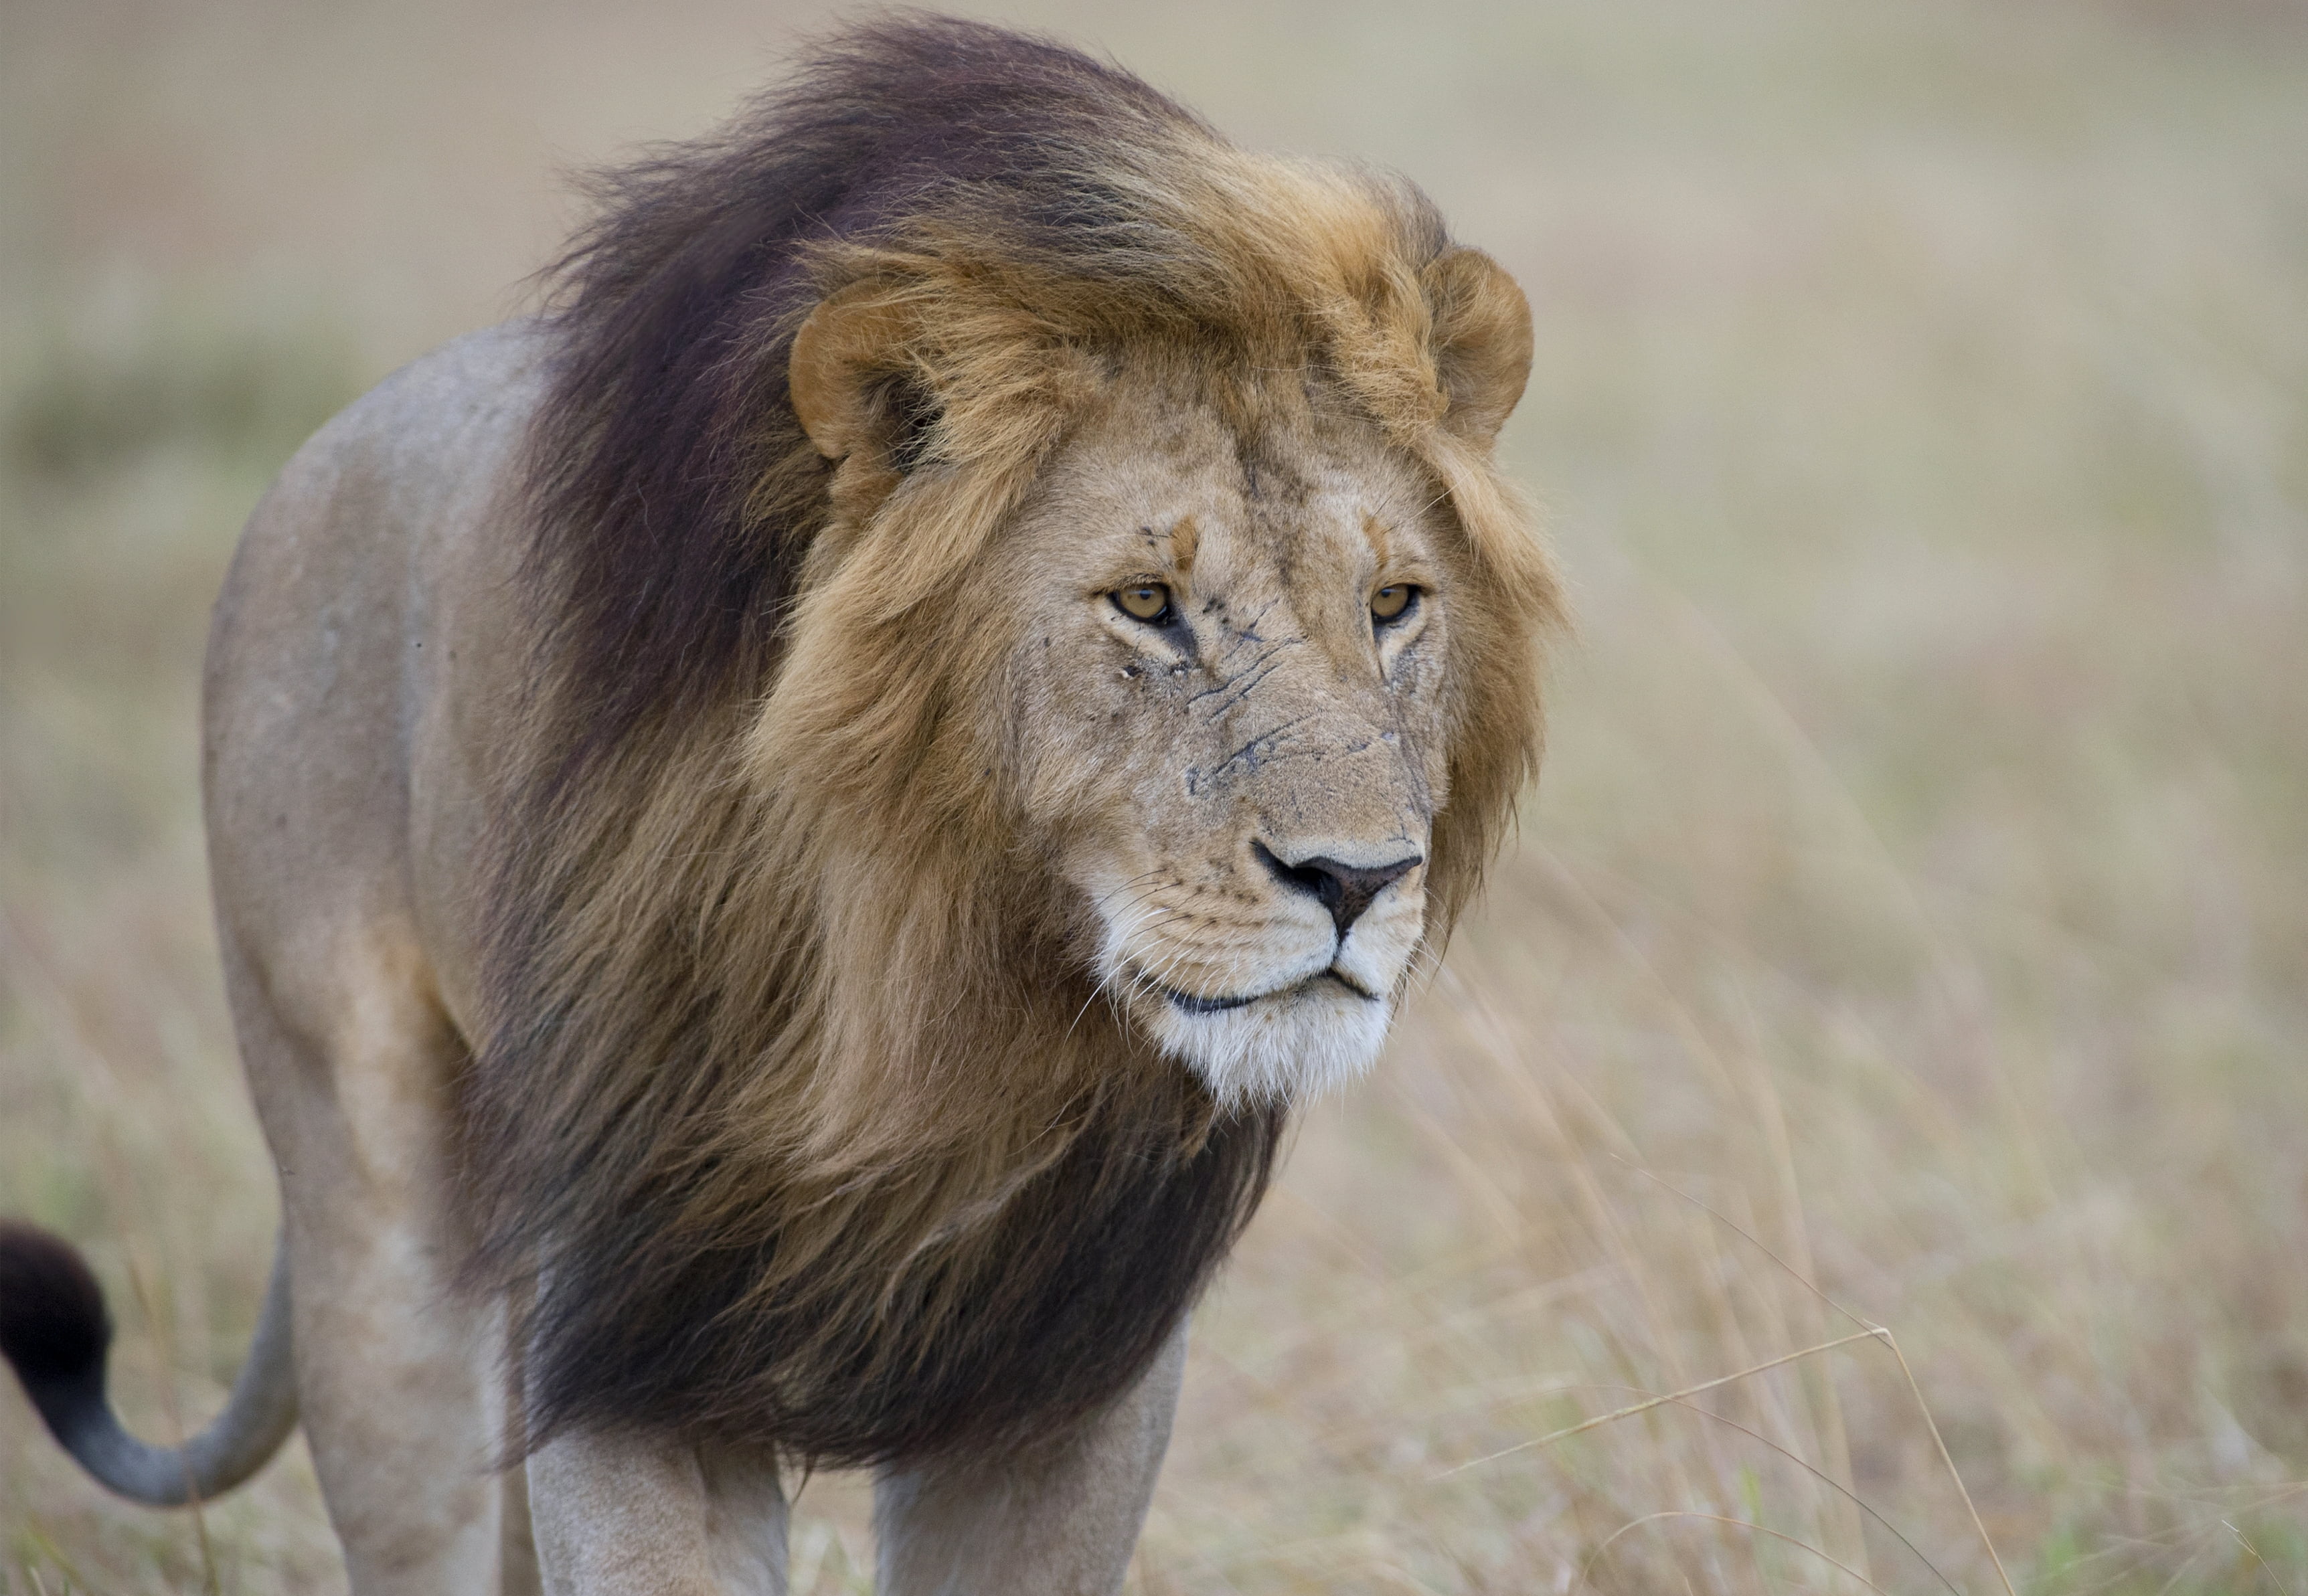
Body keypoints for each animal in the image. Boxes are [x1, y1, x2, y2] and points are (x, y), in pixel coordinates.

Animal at [0, 18, 1558, 1593]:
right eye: (1145, 604)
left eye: (1391, 604)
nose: (1357, 879)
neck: (931, 984)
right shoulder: (633, 1315)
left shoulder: (1067, 1364)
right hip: (366, 1221)